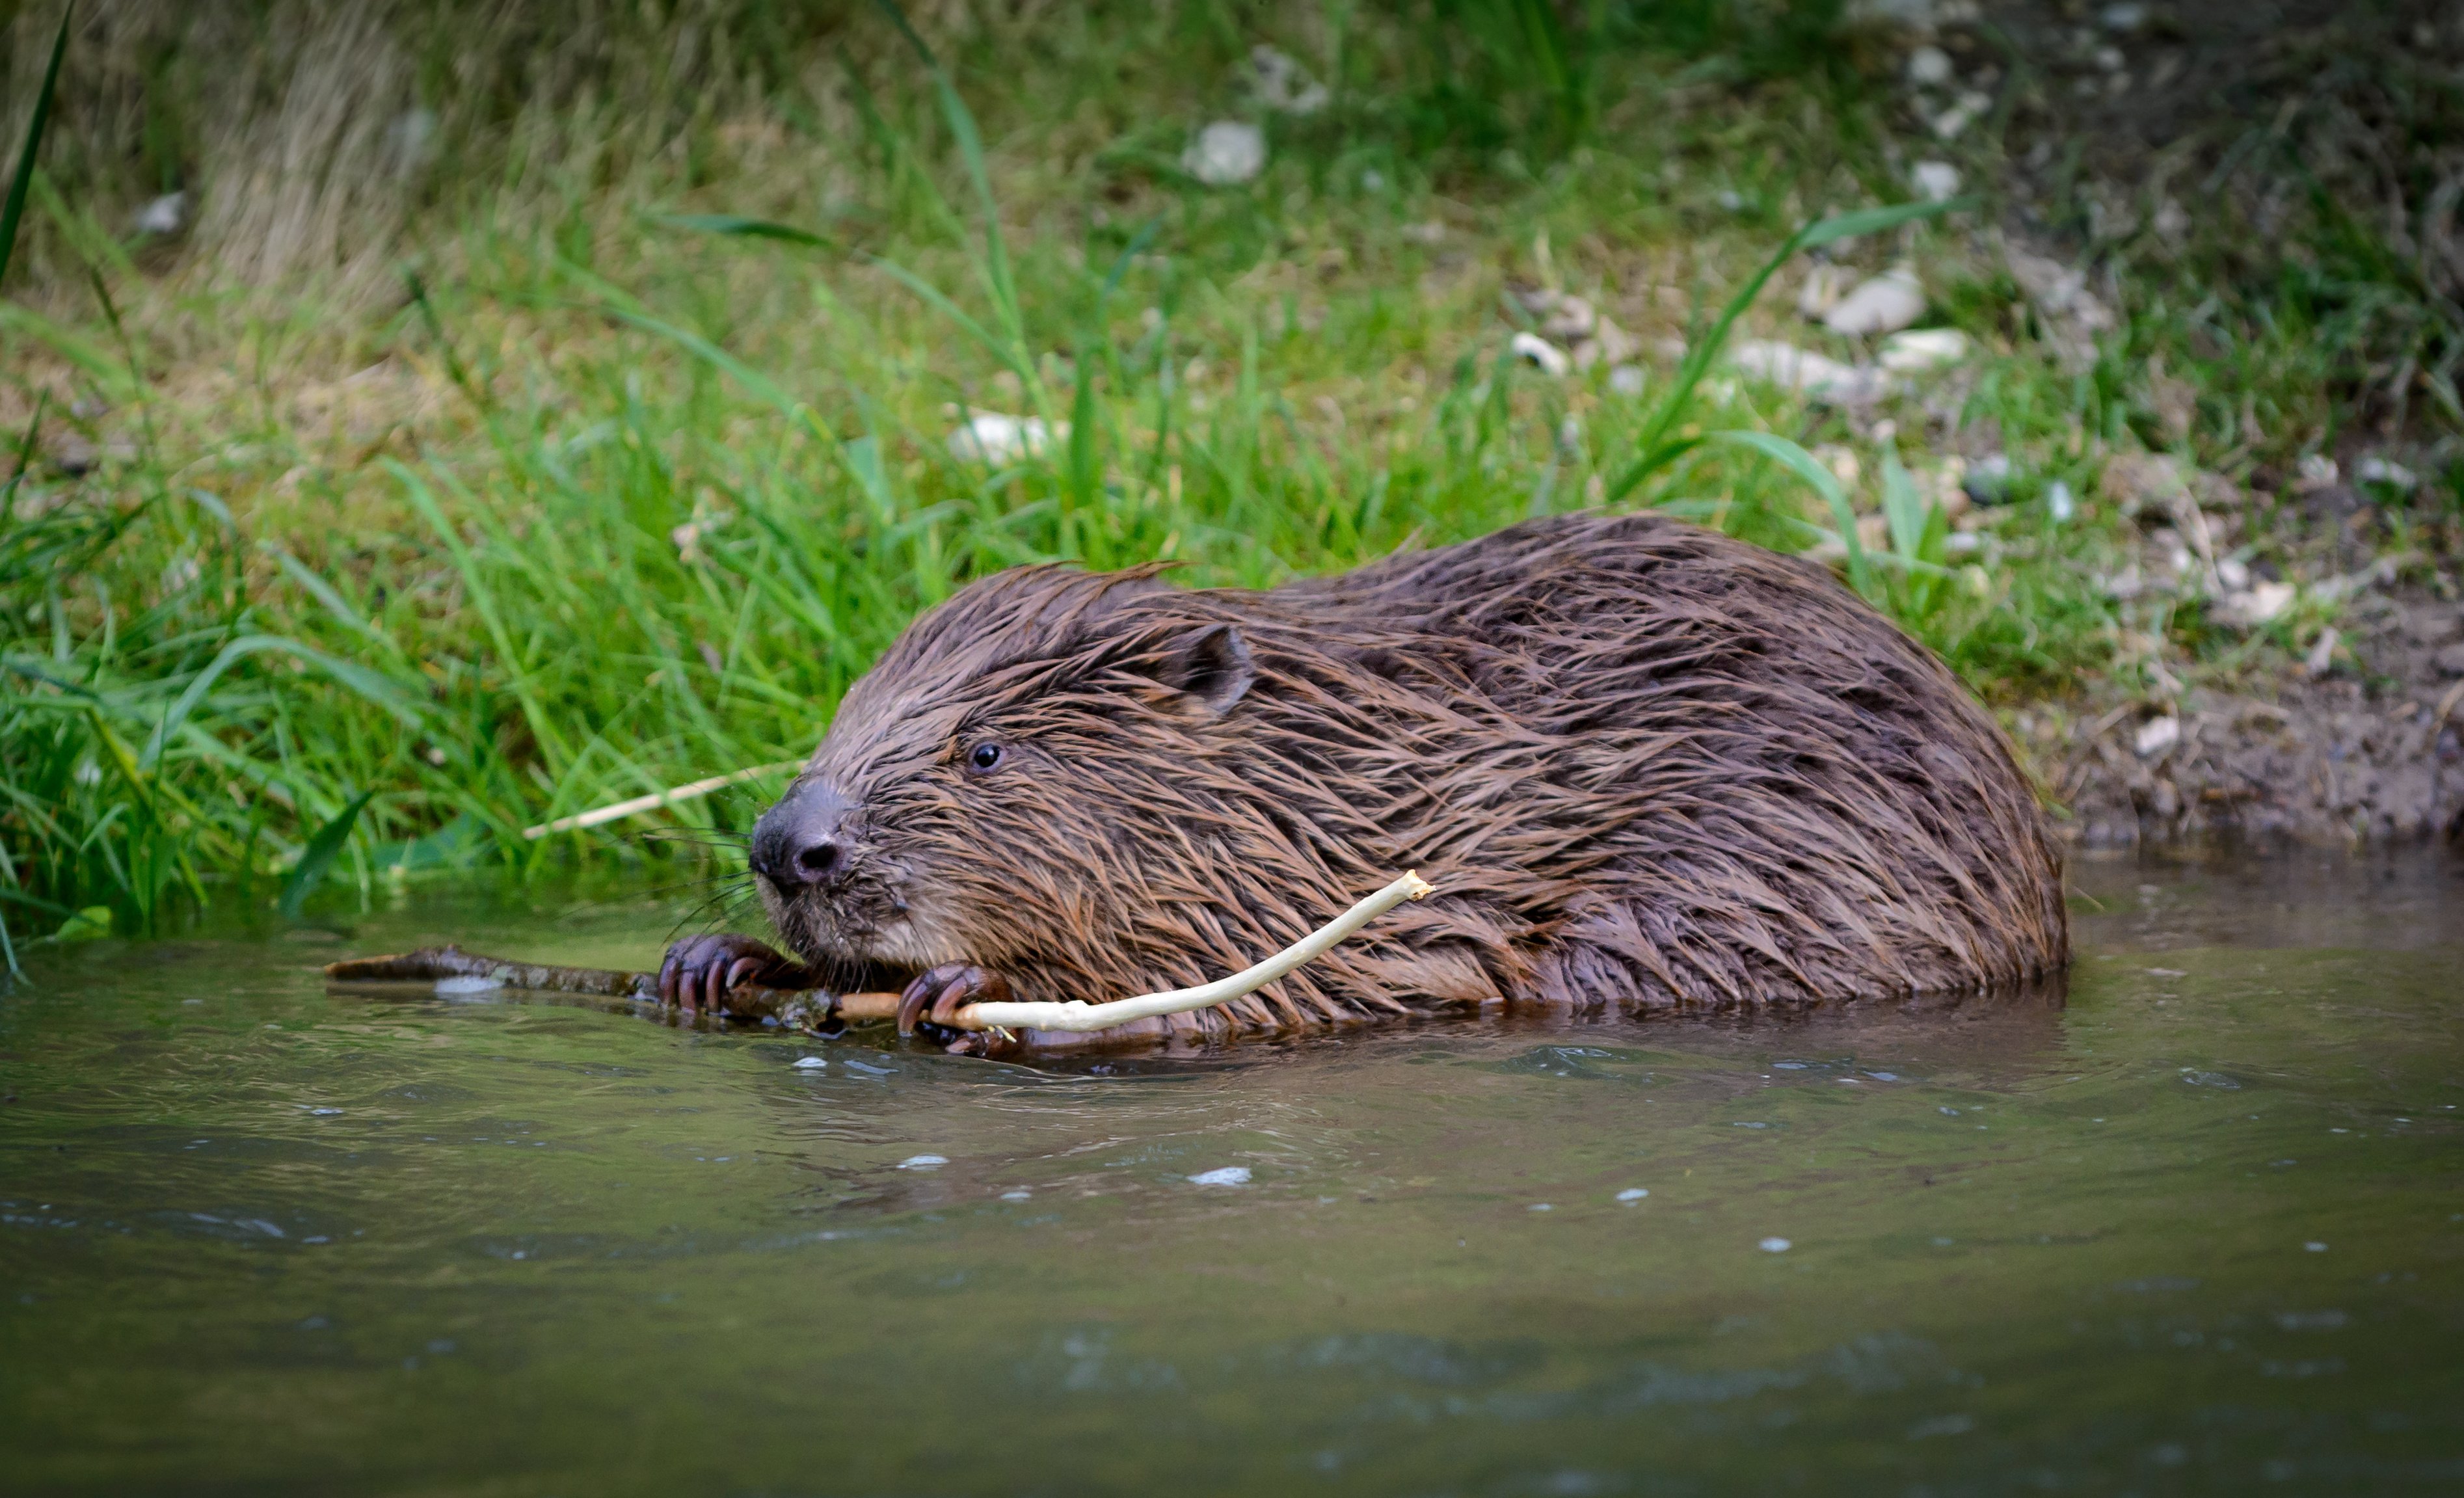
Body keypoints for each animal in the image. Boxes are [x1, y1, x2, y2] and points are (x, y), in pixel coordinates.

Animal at [665, 510, 2069, 1049]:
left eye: (986, 747)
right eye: (842, 714)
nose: (789, 843)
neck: (1315, 773)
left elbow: (1261, 993)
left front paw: (965, 988)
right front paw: (711, 959)